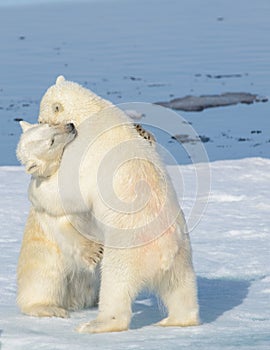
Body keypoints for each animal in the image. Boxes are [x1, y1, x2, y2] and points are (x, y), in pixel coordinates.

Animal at [16, 119, 103, 318]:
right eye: (52, 142)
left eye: (48, 125)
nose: (70, 126)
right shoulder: (53, 208)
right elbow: (67, 230)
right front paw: (96, 252)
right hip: (45, 268)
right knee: (48, 283)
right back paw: (52, 309)